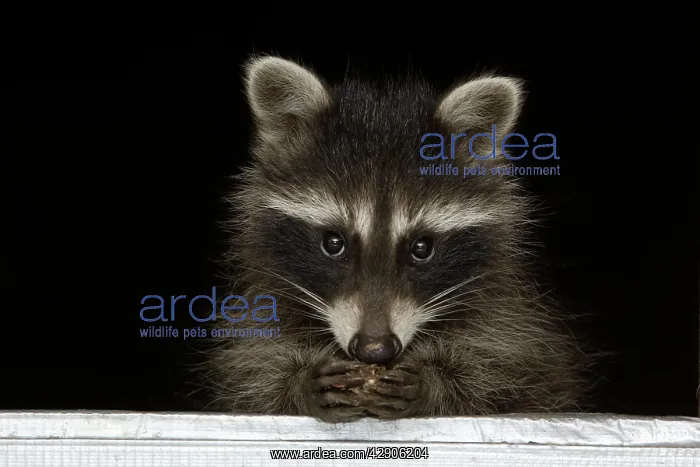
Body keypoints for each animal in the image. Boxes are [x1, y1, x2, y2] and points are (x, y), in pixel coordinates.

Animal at [204, 55, 593, 423]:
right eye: (333, 243)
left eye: (421, 248)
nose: (374, 349)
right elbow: (255, 371)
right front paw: (298, 381)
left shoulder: (515, 319)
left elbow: (506, 371)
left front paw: (437, 382)